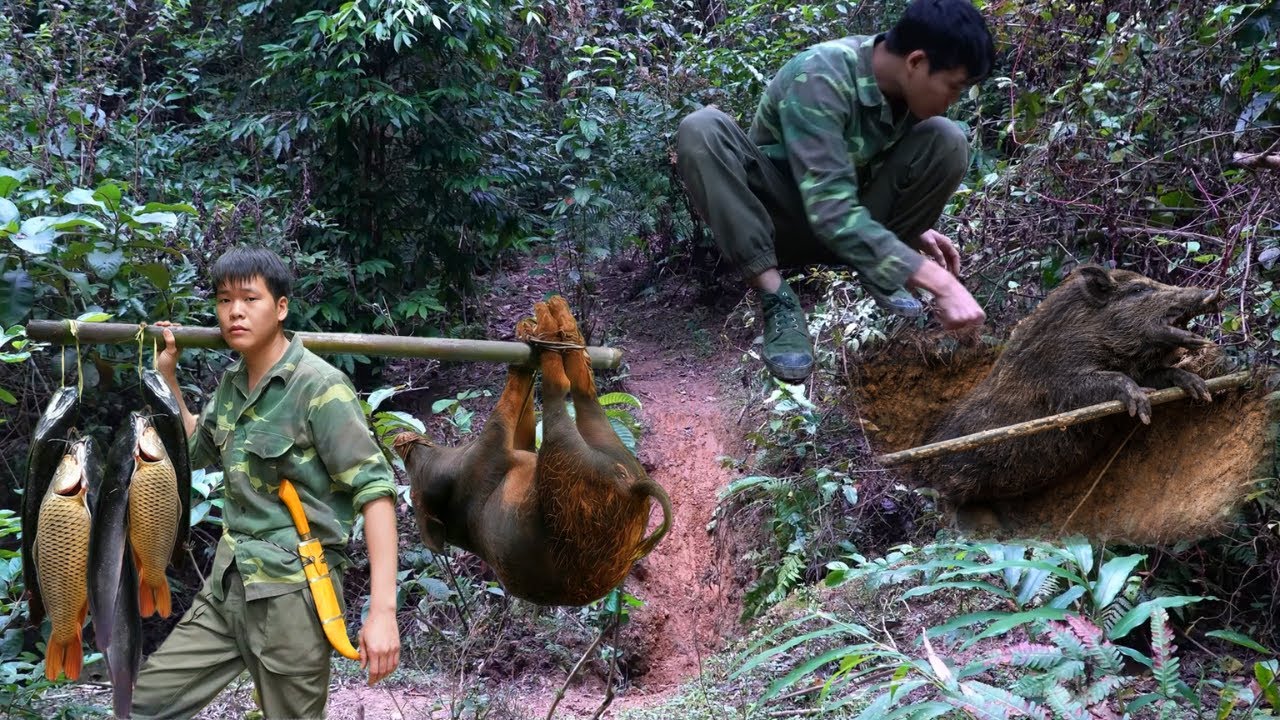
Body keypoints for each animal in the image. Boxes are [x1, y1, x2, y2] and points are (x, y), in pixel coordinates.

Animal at [393, 296, 672, 606]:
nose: (397, 441)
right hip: (566, 470)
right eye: (414, 482)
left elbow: (521, 420)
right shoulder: (487, 452)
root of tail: (632, 486)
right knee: (560, 393)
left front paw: (523, 331)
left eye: (411, 470)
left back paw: (562, 328)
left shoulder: (515, 447)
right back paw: (552, 326)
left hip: (612, 449)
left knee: (585, 392)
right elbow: (504, 411)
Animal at [917, 265, 1221, 505]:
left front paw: (1200, 389)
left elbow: (1162, 374)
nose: (1214, 291)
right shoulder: (1061, 381)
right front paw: (1142, 408)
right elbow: (1105, 383)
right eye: (1138, 289)